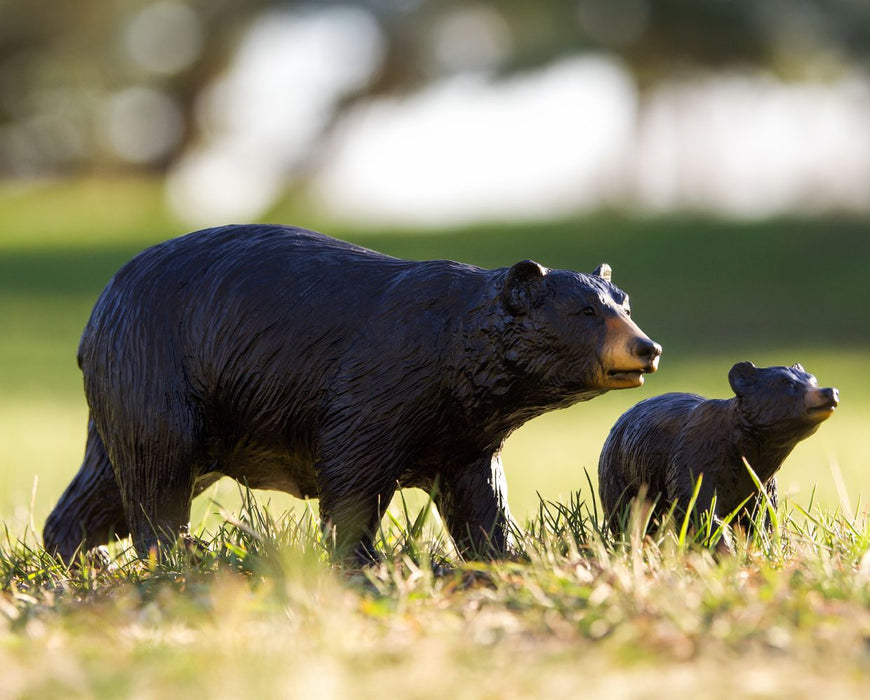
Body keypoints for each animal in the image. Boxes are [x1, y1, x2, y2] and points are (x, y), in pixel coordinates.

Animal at [43, 224, 662, 563]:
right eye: (585, 312)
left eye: (624, 303)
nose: (647, 348)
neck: (454, 356)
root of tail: (95, 317)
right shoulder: (383, 378)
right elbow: (353, 471)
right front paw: (362, 561)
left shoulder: (462, 428)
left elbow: (478, 492)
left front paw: (502, 553)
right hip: (155, 369)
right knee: (156, 468)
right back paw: (174, 553)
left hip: (137, 388)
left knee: (106, 478)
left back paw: (75, 555)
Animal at [597, 362, 838, 548]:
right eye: (788, 384)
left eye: (813, 380)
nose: (830, 392)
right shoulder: (694, 462)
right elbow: (699, 513)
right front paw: (723, 553)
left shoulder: (761, 484)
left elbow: (761, 518)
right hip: (622, 479)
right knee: (627, 517)